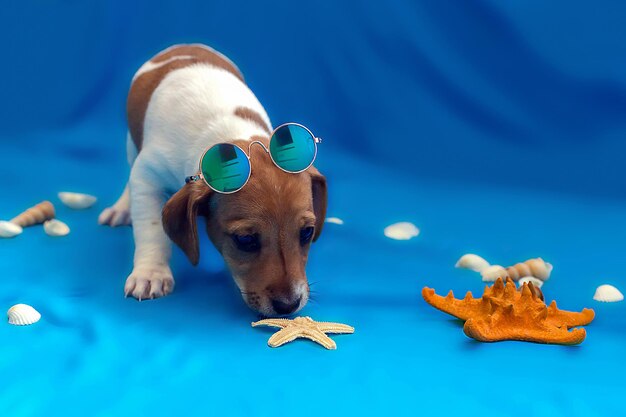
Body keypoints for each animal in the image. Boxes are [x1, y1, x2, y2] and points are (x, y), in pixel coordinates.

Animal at [97, 44, 326, 316]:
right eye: (245, 240)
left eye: (307, 233)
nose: (288, 306)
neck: (231, 139)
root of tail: (183, 45)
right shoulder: (147, 175)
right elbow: (152, 229)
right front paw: (150, 273)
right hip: (132, 146)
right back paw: (122, 208)